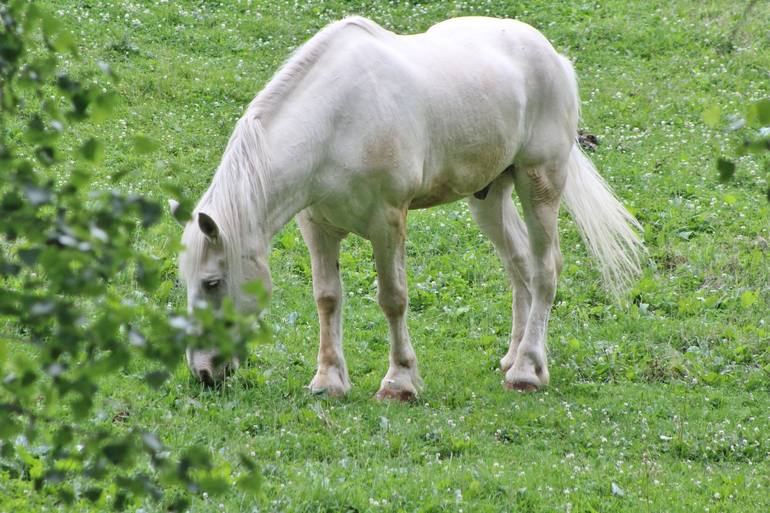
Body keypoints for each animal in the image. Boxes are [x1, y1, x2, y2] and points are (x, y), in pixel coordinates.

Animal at [172, 16, 640, 398]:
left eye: (212, 283)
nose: (203, 372)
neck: (335, 121)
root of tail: (554, 58)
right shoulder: (318, 227)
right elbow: (327, 297)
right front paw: (328, 381)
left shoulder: (387, 221)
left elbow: (393, 298)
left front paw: (399, 382)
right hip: (489, 197)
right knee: (520, 266)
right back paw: (513, 357)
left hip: (540, 183)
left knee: (545, 270)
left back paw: (526, 371)